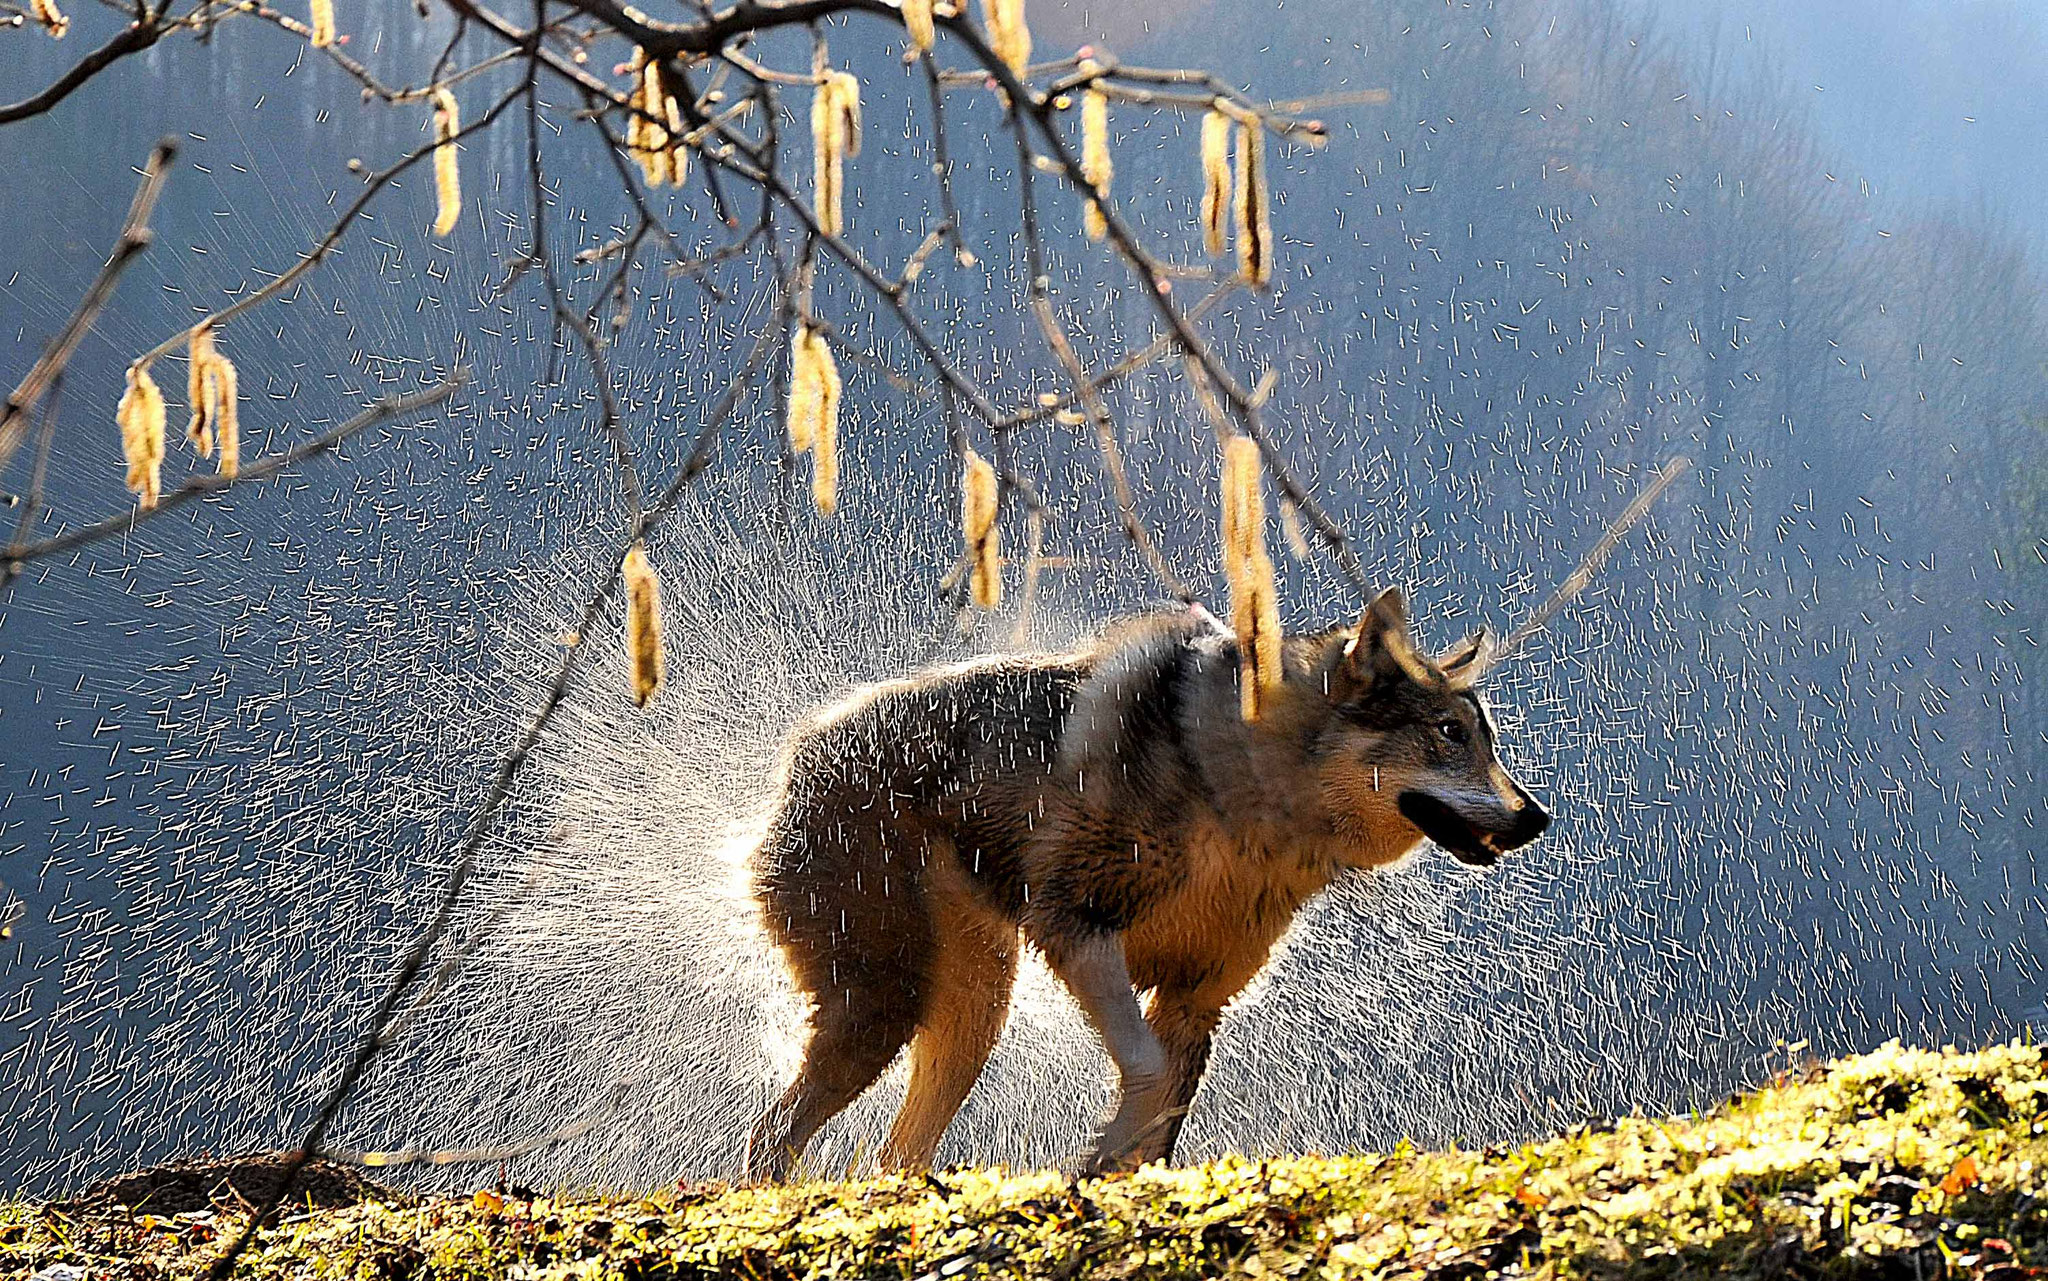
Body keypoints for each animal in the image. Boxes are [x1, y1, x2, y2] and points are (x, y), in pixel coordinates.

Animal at [742, 587, 1549, 1180]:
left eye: (1487, 739)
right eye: (1448, 734)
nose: (1537, 817)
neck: (1241, 788)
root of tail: (797, 753)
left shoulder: (1197, 997)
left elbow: (1165, 1114)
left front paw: (1114, 1180)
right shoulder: (1077, 925)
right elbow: (1147, 1074)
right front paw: (1095, 1164)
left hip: (970, 1011)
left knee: (889, 1153)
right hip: (888, 1006)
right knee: (773, 1135)